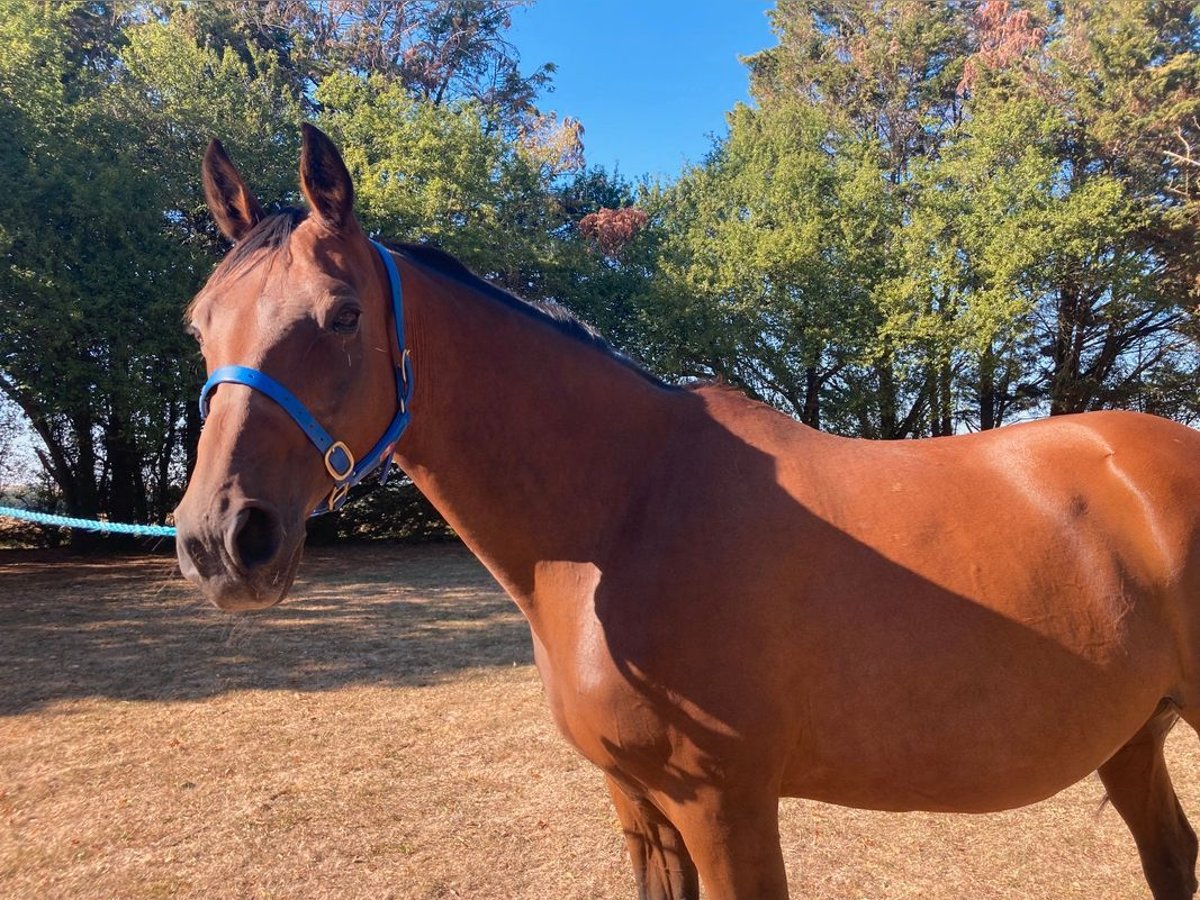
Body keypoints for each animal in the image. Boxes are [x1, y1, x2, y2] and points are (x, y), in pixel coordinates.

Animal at [174, 123, 1200, 897]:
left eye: (343, 314)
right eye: (199, 324)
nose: (222, 540)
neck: (625, 517)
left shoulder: (726, 808)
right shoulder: (640, 807)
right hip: (1132, 734)